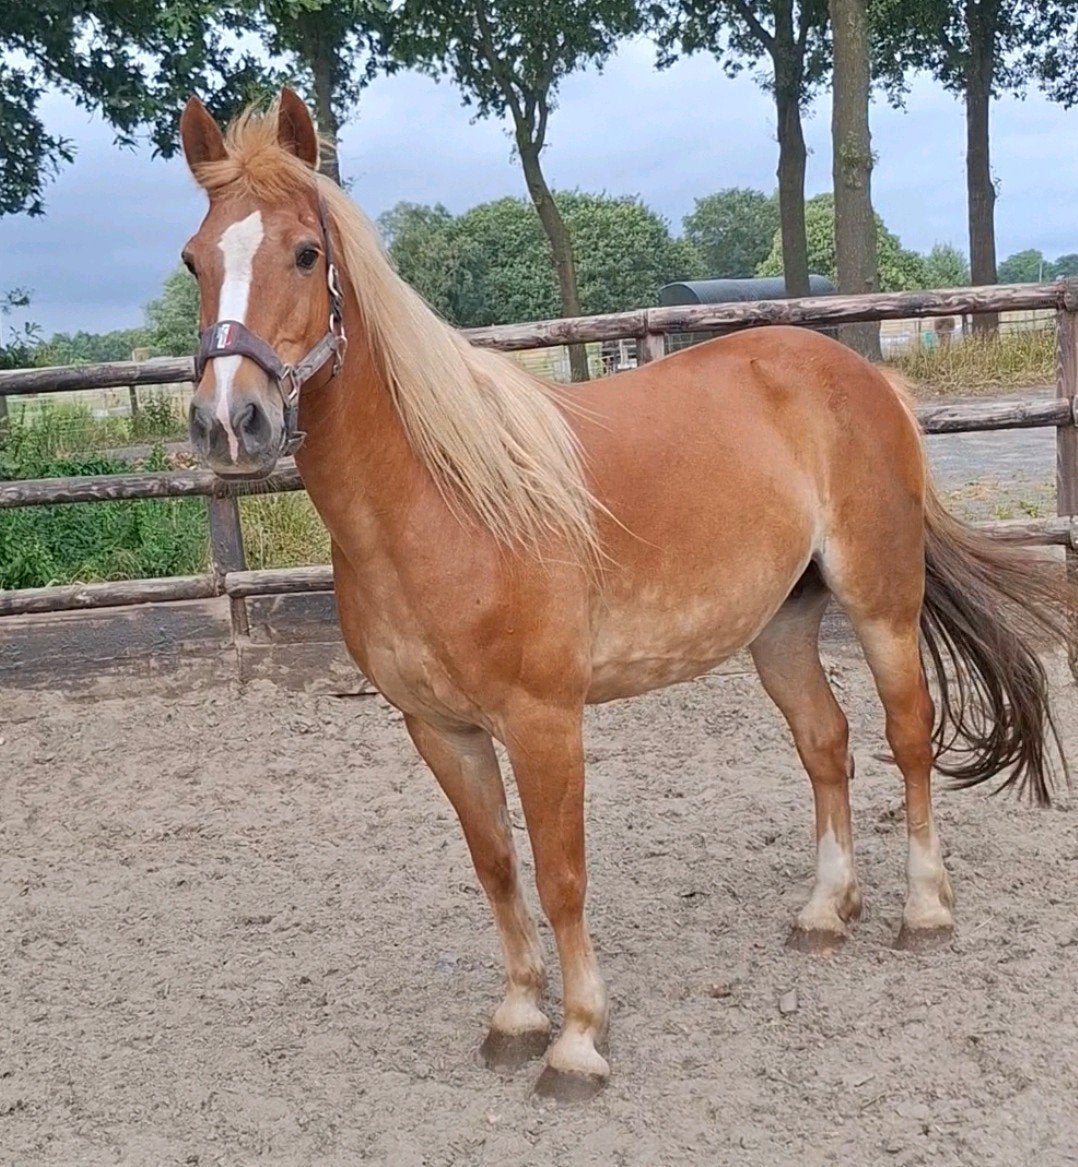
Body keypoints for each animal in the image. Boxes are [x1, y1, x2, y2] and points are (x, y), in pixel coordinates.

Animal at [176, 89, 1072, 1102]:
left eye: (304, 252)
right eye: (195, 258)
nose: (230, 421)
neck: (445, 499)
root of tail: (863, 374)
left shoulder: (543, 719)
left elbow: (561, 873)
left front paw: (578, 1040)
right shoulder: (439, 728)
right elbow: (497, 866)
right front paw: (517, 1014)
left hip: (881, 603)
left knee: (909, 736)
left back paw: (923, 909)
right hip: (779, 626)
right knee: (826, 744)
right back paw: (823, 908)